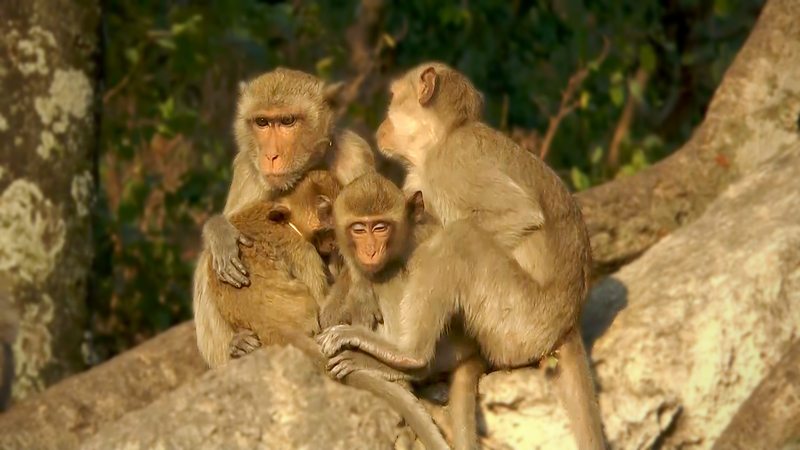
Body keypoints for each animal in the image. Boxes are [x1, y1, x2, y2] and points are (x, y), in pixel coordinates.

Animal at [194, 68, 381, 368]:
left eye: (287, 121)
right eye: (262, 122)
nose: (271, 156)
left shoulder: (355, 153)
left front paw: (347, 304)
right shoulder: (247, 168)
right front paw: (219, 232)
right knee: (204, 262)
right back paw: (237, 347)